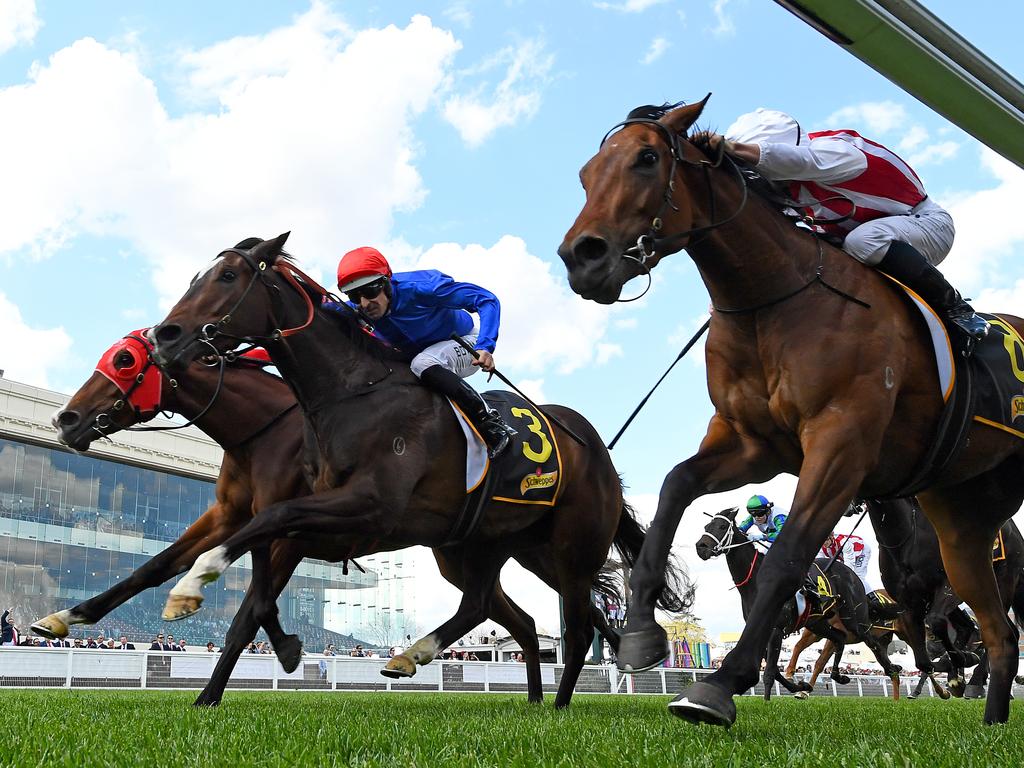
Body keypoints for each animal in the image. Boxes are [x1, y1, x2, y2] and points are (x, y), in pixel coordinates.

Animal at [41, 325, 655, 708]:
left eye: (124, 361)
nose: (67, 419)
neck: (266, 433)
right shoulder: (230, 516)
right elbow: (157, 567)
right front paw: (65, 617)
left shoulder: (293, 526)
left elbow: (248, 610)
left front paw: (212, 693)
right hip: (483, 550)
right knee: (515, 615)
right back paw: (522, 692)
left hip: (559, 547)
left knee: (565, 619)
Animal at [144, 234, 688, 708]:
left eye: (228, 276)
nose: (163, 336)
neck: (351, 393)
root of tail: (595, 447)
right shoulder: (321, 515)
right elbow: (261, 560)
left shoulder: (367, 506)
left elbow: (267, 526)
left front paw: (193, 584)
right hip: (495, 546)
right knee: (498, 606)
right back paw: (454, 669)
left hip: (573, 545)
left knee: (573, 630)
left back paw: (553, 704)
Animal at [692, 507, 901, 700]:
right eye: (706, 526)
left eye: (721, 526)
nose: (701, 547)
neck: (756, 582)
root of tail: (851, 573)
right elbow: (774, 669)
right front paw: (801, 686)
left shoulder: (775, 630)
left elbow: (769, 672)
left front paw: (767, 702)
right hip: (818, 623)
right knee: (839, 638)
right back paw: (839, 676)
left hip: (854, 618)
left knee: (872, 642)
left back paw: (892, 669)